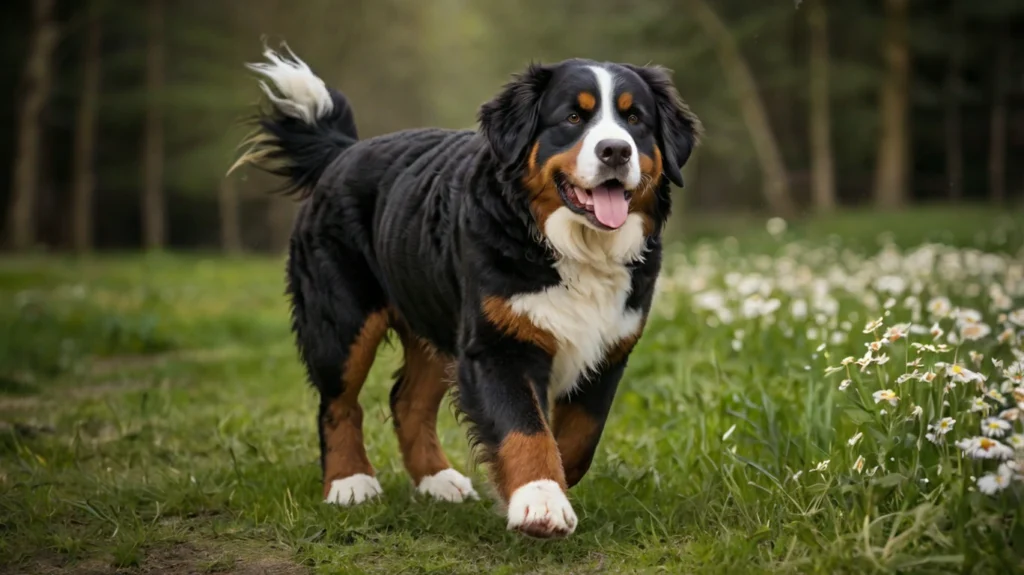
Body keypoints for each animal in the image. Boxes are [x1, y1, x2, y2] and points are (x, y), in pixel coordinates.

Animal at [229, 43, 700, 536]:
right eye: (573, 117)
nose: (615, 150)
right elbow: (525, 428)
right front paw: (539, 500)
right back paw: (350, 483)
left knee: (407, 402)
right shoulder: (498, 346)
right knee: (338, 404)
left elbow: (578, 438)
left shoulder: (607, 349)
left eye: (635, 119)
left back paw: (437, 480)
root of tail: (345, 150)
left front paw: (546, 486)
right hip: (341, 323)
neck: (569, 249)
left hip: (435, 323)